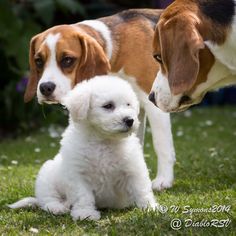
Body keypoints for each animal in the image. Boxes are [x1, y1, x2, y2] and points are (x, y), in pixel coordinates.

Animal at [8, 76, 157, 221]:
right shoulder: (78, 175)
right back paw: (57, 208)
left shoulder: (133, 169)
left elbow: (141, 190)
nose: (130, 120)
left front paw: (150, 209)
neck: (103, 141)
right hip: (46, 178)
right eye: (108, 106)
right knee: (47, 199)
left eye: (128, 104)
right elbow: (83, 196)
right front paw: (85, 213)